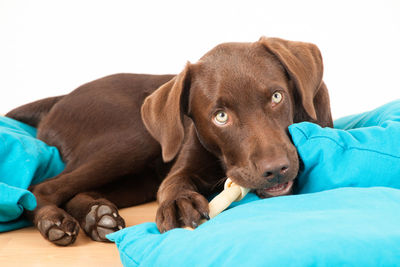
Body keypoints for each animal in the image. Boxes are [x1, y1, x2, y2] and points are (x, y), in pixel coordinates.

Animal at [7, 36, 332, 246]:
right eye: (220, 117)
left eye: (277, 96)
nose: (275, 169)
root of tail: (60, 99)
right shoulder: (183, 162)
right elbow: (173, 183)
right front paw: (177, 205)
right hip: (134, 137)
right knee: (44, 187)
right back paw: (54, 221)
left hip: (139, 177)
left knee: (78, 190)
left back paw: (97, 216)